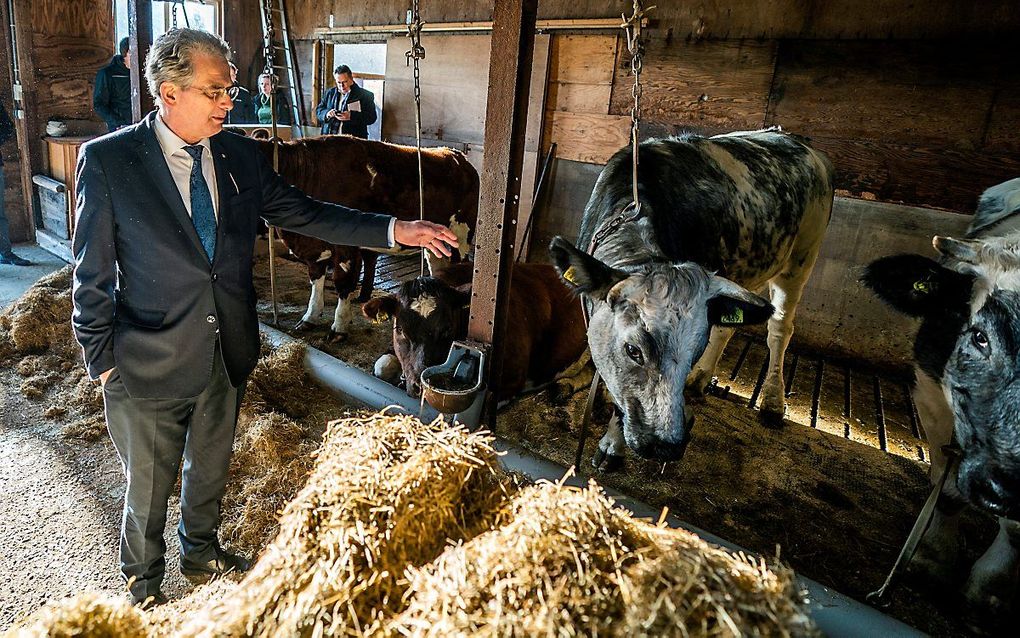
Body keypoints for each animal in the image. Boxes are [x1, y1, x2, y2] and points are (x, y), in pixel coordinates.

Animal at [255, 136, 477, 340]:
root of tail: (456, 155)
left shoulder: (344, 246)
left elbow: (343, 283)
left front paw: (339, 326)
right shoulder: (315, 248)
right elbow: (316, 279)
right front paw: (310, 317)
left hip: (461, 236)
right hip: (436, 244)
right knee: (440, 269)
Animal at [864, 176, 1020, 624]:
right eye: (978, 336)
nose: (1004, 485)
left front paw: (988, 589)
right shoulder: (931, 395)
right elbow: (947, 490)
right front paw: (932, 560)